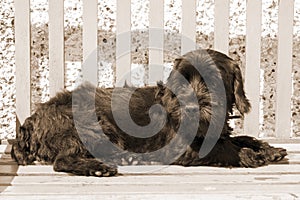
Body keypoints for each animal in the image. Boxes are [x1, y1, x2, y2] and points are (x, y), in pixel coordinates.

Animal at [11, 49, 288, 177]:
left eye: (213, 80)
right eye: (182, 80)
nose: (190, 107)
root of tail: (31, 121)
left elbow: (239, 138)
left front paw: (268, 149)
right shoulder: (184, 148)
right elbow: (226, 148)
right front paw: (252, 156)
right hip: (89, 124)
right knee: (62, 160)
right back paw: (99, 167)